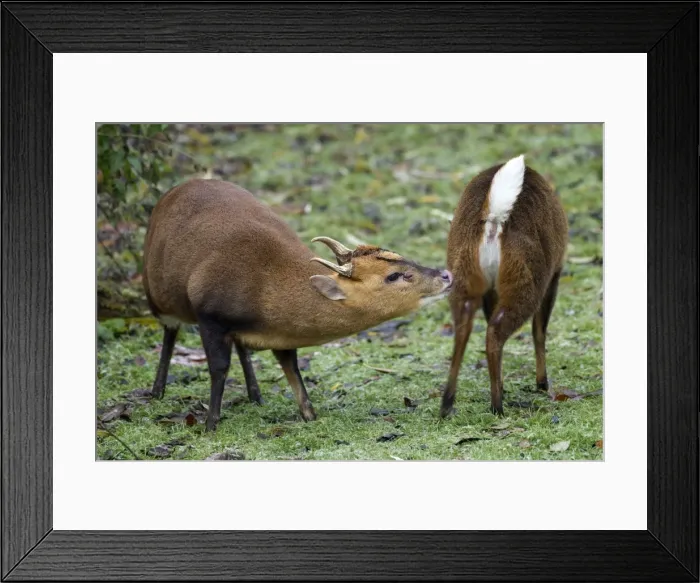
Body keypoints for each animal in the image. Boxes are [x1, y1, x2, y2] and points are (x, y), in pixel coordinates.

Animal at [142, 178, 454, 431]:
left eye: (400, 257)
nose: (446, 275)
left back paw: (256, 395)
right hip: (156, 295)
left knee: (241, 347)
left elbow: (291, 367)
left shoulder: (281, 333)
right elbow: (219, 368)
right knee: (170, 331)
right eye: (393, 275)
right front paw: (210, 424)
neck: (265, 287)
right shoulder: (209, 317)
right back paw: (157, 391)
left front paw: (309, 415)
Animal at [440, 155, 568, 418]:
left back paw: (447, 404)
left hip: (463, 276)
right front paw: (542, 383)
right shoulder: (555, 273)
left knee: (464, 328)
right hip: (527, 281)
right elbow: (539, 330)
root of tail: (493, 220)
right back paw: (497, 405)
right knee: (496, 331)